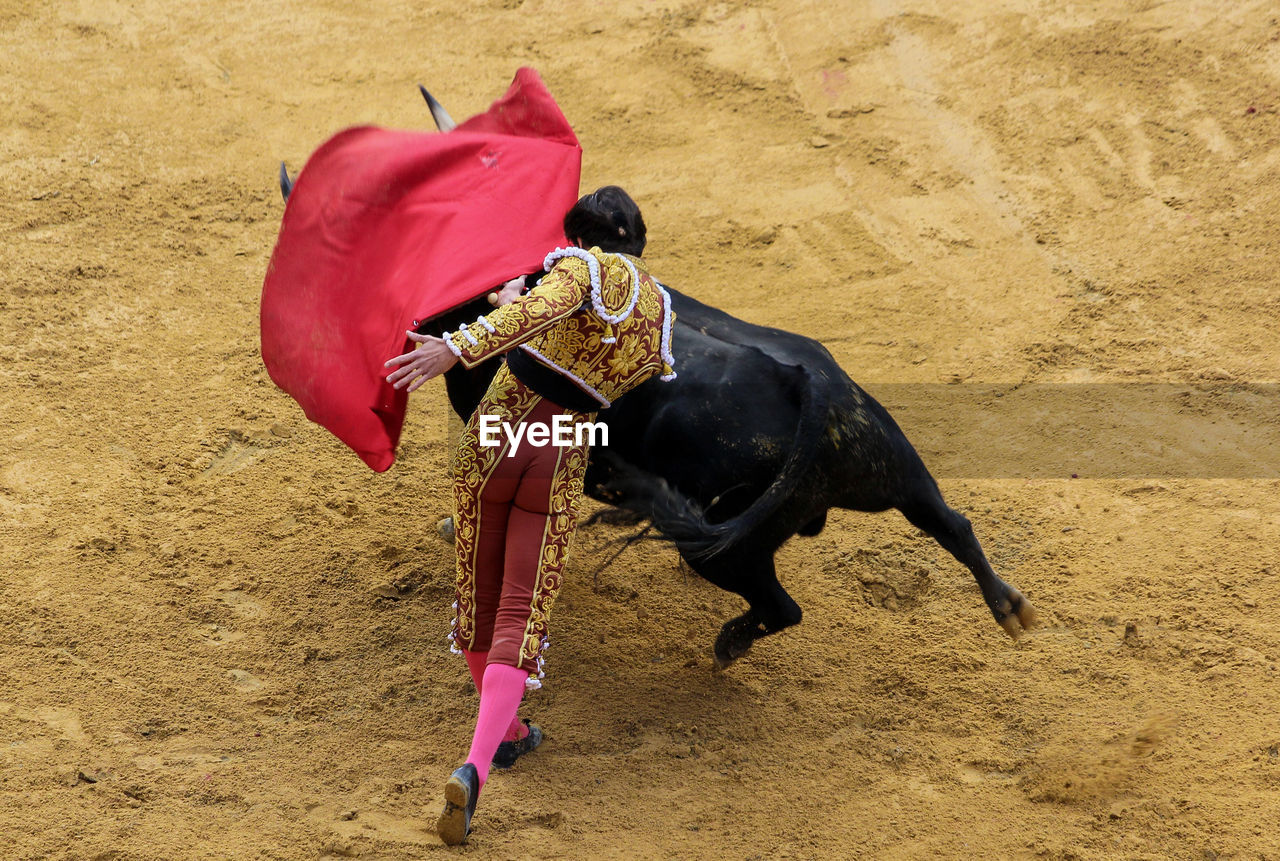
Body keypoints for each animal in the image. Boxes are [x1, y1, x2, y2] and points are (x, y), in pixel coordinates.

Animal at [424, 281, 1034, 665]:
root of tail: (808, 384)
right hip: (892, 471)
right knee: (952, 524)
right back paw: (1010, 607)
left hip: (730, 549)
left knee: (779, 605)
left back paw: (728, 646)